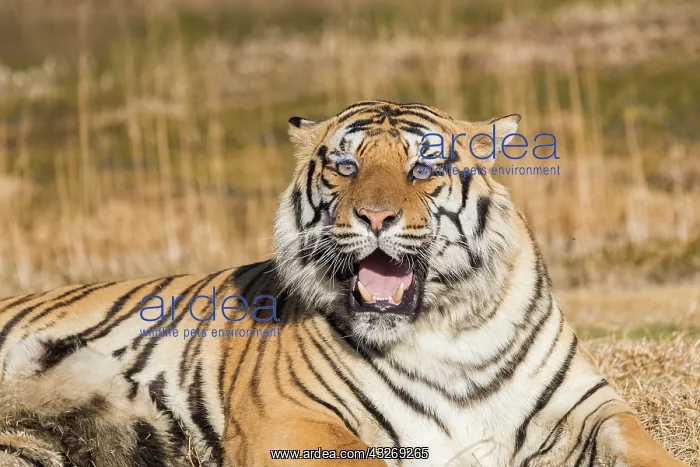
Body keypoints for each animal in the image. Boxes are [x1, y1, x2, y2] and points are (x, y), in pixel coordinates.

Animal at [0, 100, 687, 467]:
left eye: (424, 168)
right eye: (346, 166)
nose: (375, 218)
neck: (445, 328)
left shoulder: (589, 408)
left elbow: (646, 449)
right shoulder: (289, 420)